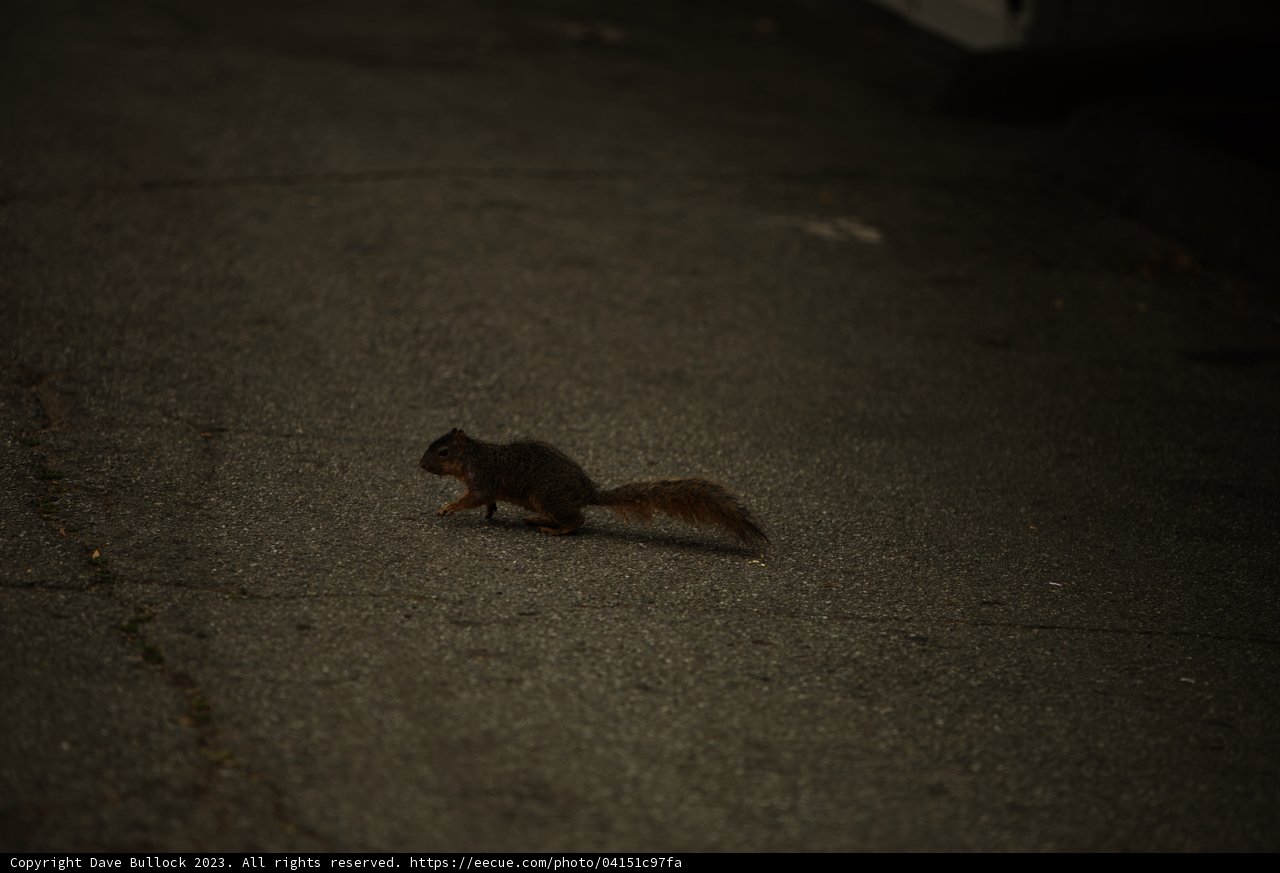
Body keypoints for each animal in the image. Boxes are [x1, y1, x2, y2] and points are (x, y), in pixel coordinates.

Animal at [419, 428, 767, 548]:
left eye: (443, 452)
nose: (421, 464)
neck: (473, 456)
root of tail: (588, 492)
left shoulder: (482, 480)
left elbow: (472, 498)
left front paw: (447, 508)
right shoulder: (486, 488)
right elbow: (487, 501)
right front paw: (490, 513)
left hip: (546, 496)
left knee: (578, 519)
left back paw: (553, 529)